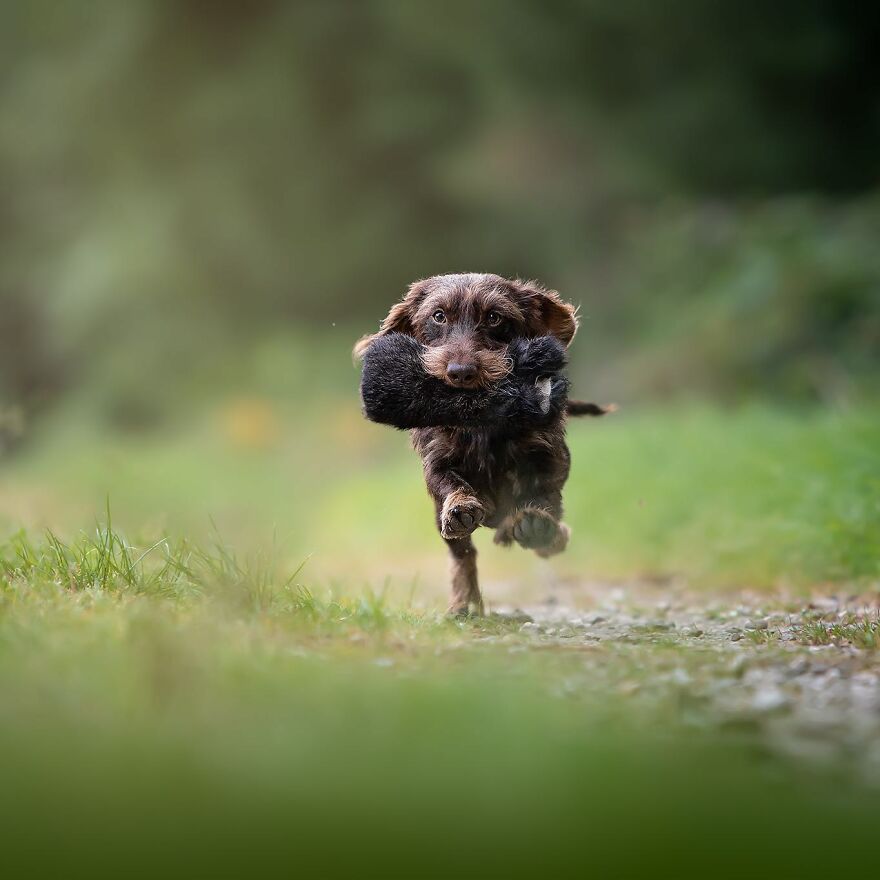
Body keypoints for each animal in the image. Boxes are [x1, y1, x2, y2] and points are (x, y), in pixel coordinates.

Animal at [354, 272, 608, 616]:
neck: (478, 419)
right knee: (463, 555)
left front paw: (539, 522)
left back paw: (545, 534)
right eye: (438, 316)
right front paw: (460, 506)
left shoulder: (548, 452)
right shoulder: (437, 461)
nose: (461, 372)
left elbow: (545, 488)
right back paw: (465, 601)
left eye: (493, 317)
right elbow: (448, 484)